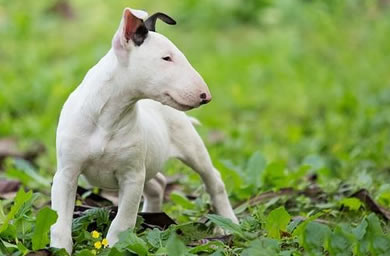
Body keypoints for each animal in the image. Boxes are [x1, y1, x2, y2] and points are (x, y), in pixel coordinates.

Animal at [50, 8, 239, 254]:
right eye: (166, 58)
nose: (205, 96)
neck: (108, 117)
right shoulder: (67, 173)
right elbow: (60, 221)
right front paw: (60, 248)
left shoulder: (132, 176)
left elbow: (123, 221)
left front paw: (115, 247)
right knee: (158, 183)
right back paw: (152, 217)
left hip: (189, 147)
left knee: (213, 180)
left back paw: (227, 223)